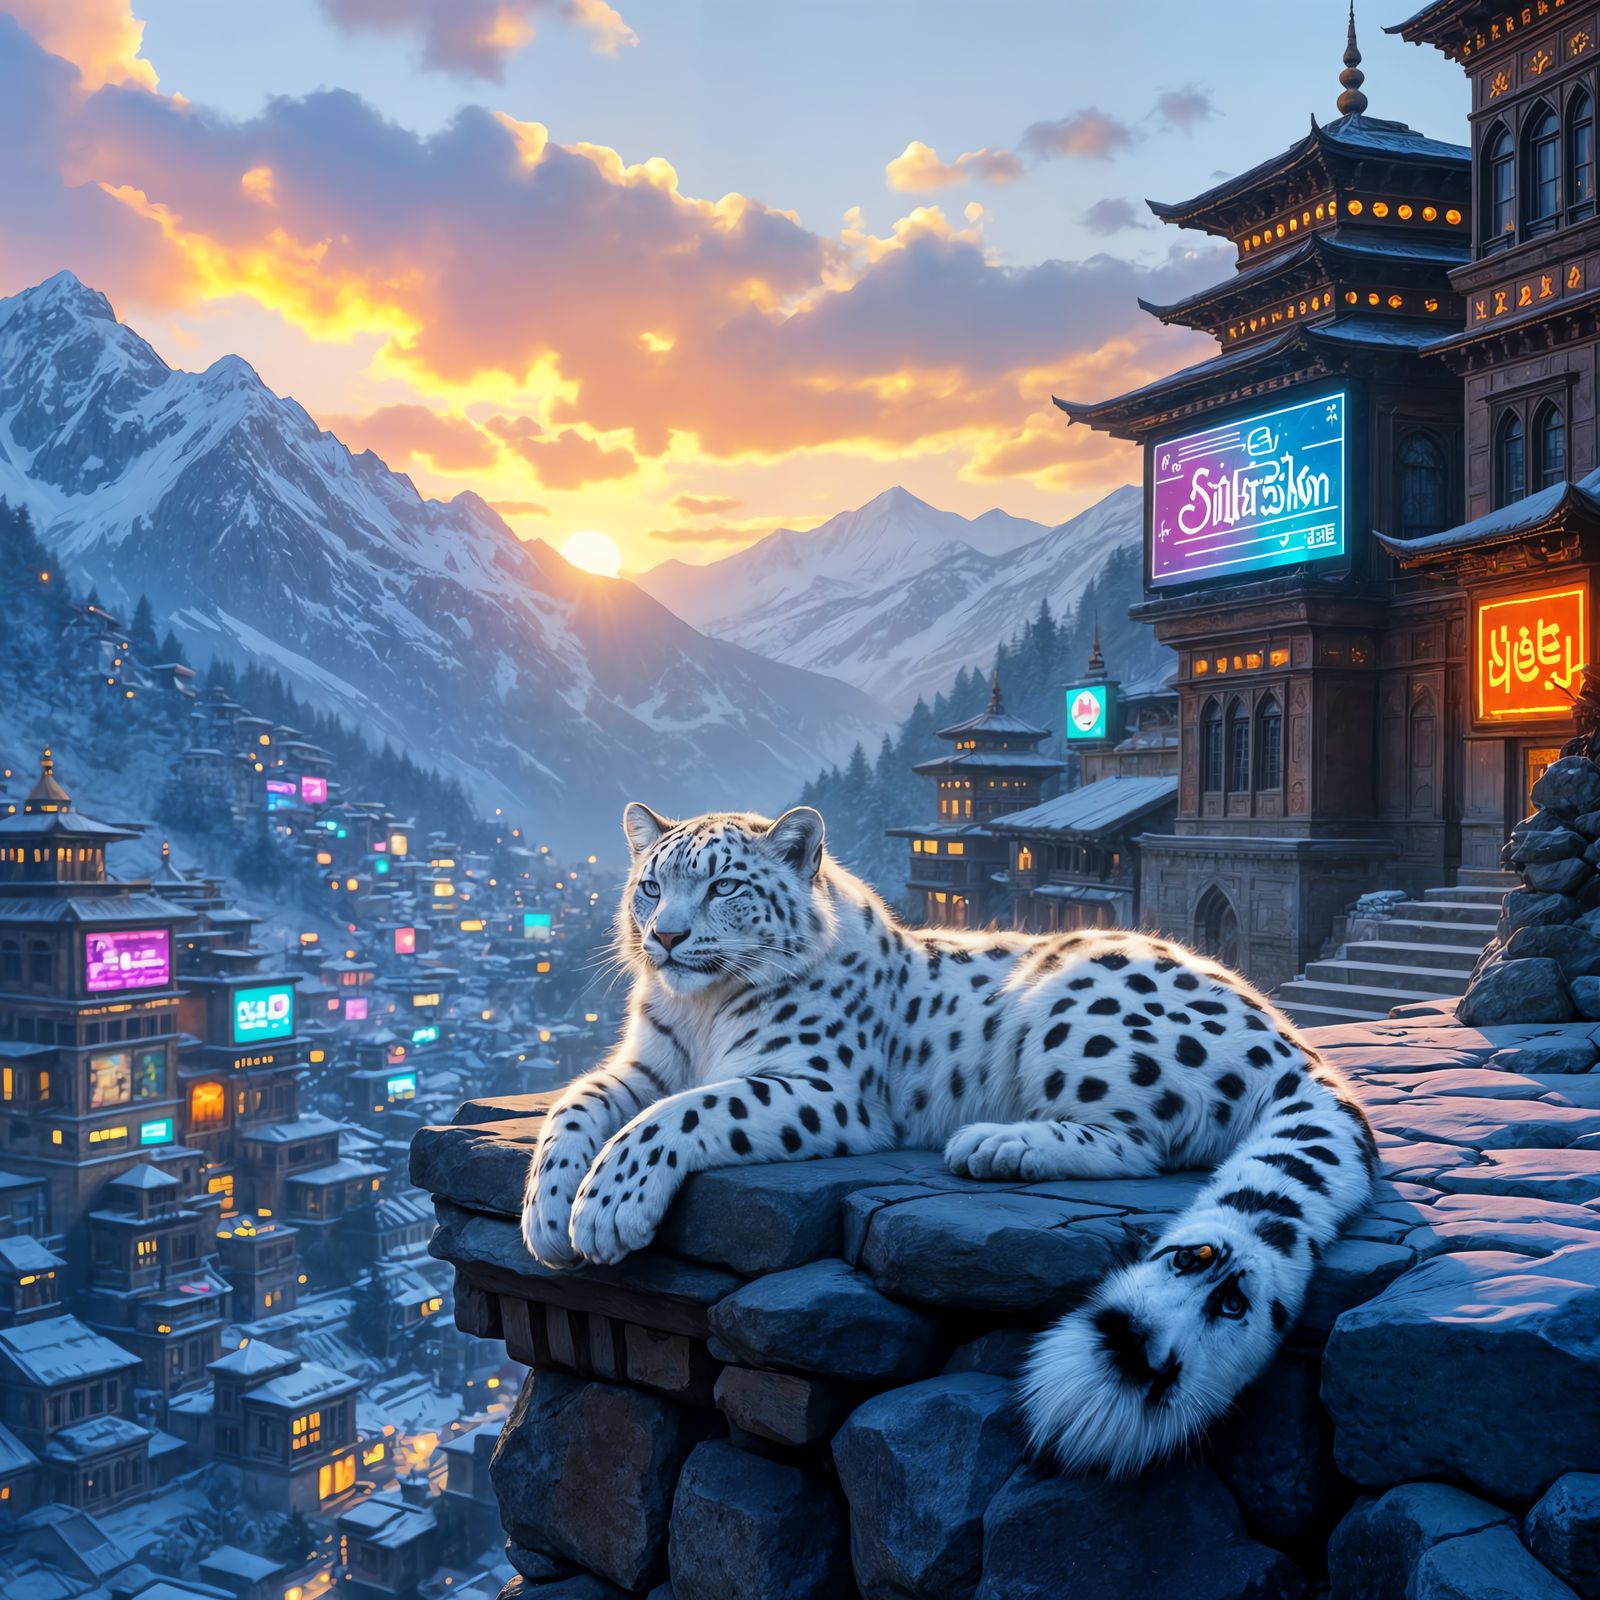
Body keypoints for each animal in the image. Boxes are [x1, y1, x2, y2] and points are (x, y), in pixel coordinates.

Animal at [520, 802, 1377, 1475]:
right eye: (651, 886)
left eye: (724, 885)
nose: (665, 936)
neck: (698, 1017)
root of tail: (1296, 1043)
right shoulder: (642, 1065)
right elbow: (576, 1107)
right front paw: (548, 1215)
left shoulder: (820, 1086)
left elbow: (681, 1114)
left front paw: (607, 1210)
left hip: (1078, 1007)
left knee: (1143, 1141)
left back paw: (998, 1144)